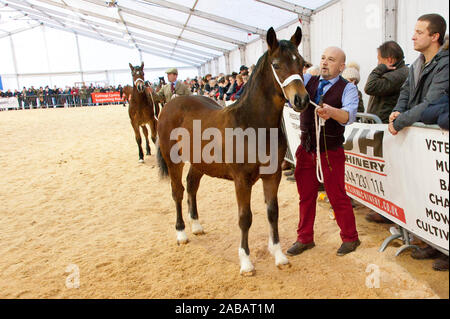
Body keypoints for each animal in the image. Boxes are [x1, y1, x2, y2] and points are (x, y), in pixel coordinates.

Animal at [156, 27, 310, 276]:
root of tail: (171, 104)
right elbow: (245, 218)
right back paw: (181, 233)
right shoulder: (242, 180)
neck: (252, 124)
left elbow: (272, 212)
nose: (301, 100)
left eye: (302, 63)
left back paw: (196, 225)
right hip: (173, 160)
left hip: (199, 163)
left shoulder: (272, 175)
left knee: (191, 186)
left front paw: (278, 255)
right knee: (177, 191)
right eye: (276, 64)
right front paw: (246, 262)